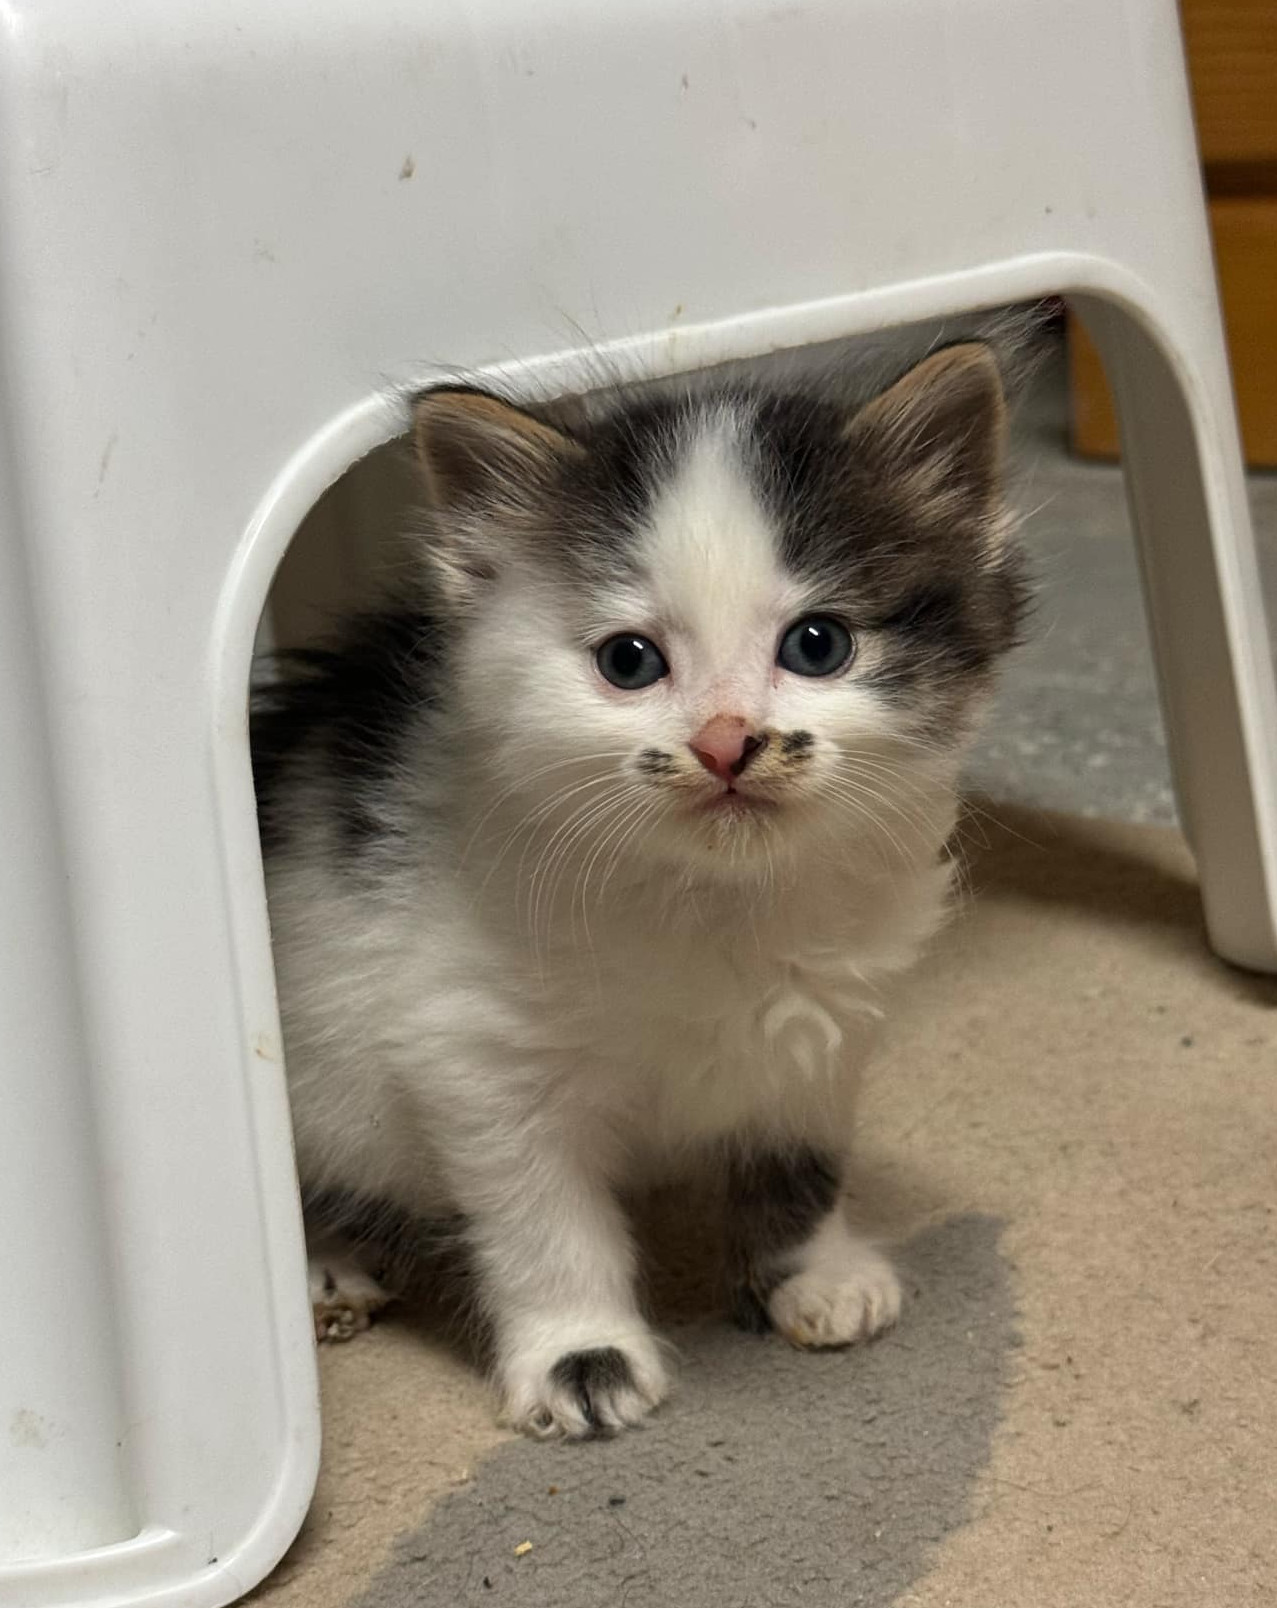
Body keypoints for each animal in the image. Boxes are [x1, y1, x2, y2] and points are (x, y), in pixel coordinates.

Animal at [255, 342, 1022, 1447]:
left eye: (818, 645)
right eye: (629, 661)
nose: (724, 742)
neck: (714, 901)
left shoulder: (821, 1025)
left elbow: (798, 1157)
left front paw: (810, 1274)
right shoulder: (478, 1055)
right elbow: (545, 1223)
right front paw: (581, 1356)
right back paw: (328, 1265)